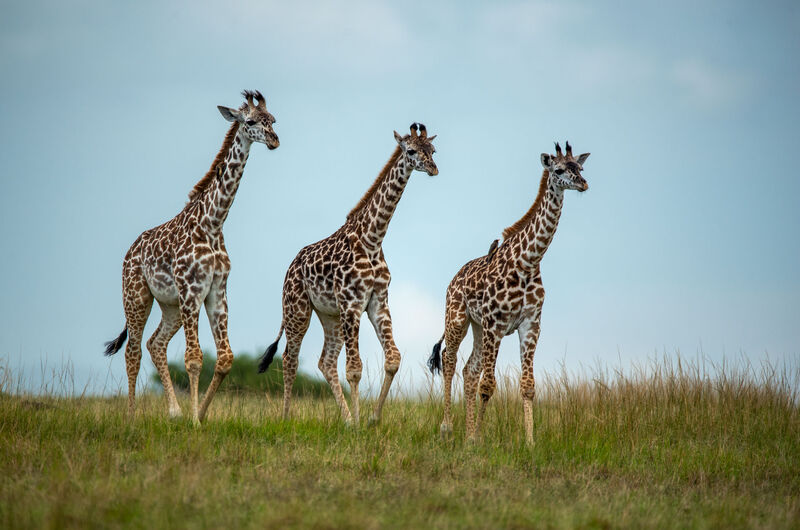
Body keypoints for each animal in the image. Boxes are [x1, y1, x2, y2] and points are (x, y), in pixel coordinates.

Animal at [103, 90, 279, 425]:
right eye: (250, 121)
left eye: (273, 120)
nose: (275, 140)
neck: (212, 223)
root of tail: (129, 251)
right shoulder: (190, 290)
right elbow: (194, 358)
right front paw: (196, 420)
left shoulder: (216, 292)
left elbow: (225, 358)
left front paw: (199, 412)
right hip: (137, 295)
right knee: (133, 349)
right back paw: (131, 417)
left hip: (169, 305)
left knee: (155, 343)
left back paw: (173, 411)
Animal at [258, 123, 438, 426]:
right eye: (411, 150)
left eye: (433, 150)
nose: (434, 168)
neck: (373, 239)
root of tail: (290, 267)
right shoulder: (352, 303)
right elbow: (354, 368)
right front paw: (359, 424)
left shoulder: (377, 302)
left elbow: (393, 358)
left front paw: (371, 419)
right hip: (297, 310)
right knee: (289, 358)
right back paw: (286, 417)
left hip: (330, 315)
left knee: (325, 362)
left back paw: (345, 419)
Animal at [428, 141, 590, 444]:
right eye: (559, 170)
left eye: (580, 168)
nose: (583, 184)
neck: (528, 262)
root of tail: (453, 279)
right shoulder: (496, 324)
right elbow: (488, 386)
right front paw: (479, 439)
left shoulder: (530, 325)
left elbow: (527, 386)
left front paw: (529, 442)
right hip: (458, 319)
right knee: (449, 360)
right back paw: (448, 428)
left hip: (478, 327)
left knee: (469, 370)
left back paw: (467, 434)